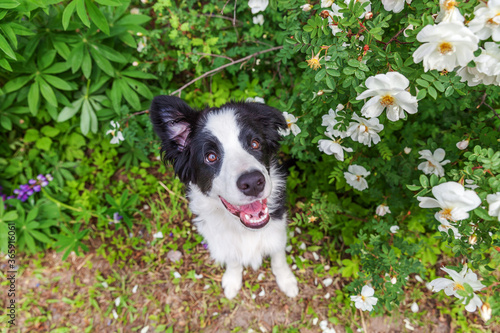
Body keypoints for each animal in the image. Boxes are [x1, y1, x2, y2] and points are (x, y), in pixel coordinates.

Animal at [148, 95, 296, 298]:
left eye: (255, 143)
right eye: (211, 156)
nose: (253, 182)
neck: (244, 228)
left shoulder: (278, 227)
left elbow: (278, 255)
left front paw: (287, 280)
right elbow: (232, 258)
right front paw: (232, 281)